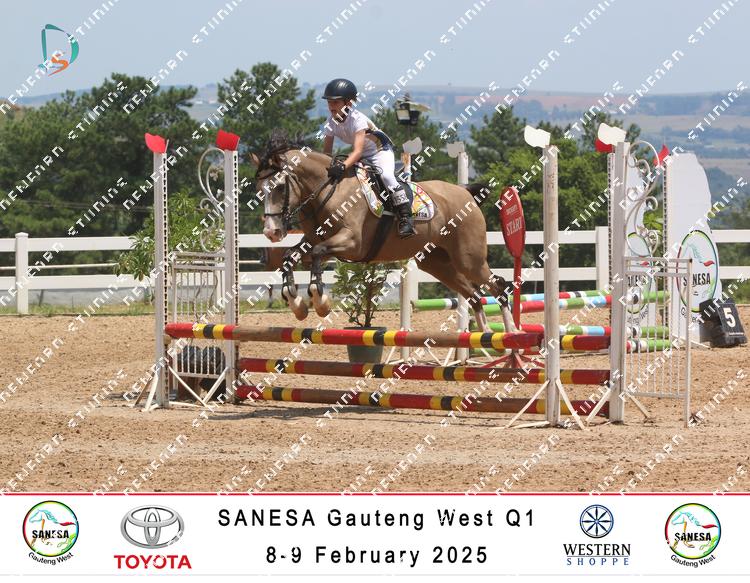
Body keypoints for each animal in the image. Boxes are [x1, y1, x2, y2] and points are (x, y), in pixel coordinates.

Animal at [250, 132, 515, 333]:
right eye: (260, 188)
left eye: (280, 187)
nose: (272, 232)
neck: (328, 192)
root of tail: (466, 193)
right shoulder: (320, 243)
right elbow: (290, 257)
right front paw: (297, 304)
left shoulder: (352, 244)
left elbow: (316, 253)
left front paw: (320, 301)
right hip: (437, 263)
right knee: (474, 294)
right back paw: (486, 334)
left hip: (468, 259)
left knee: (498, 286)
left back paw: (510, 335)